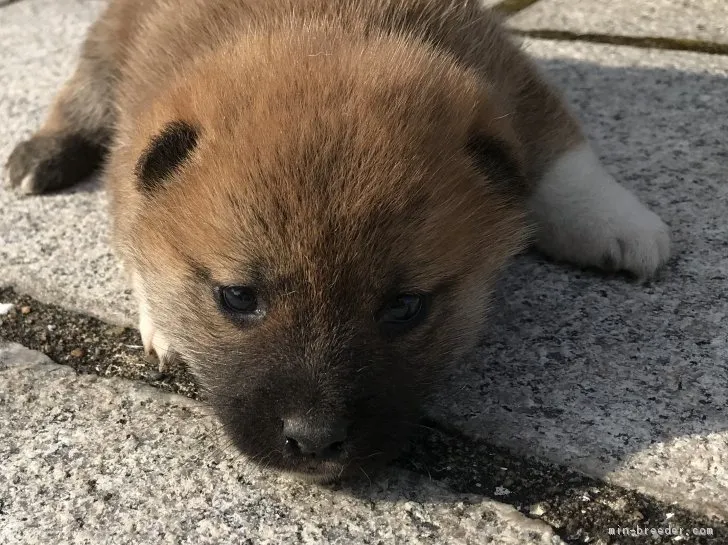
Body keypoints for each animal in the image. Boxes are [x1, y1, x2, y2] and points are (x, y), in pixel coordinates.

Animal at [4, 0, 672, 480]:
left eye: (406, 307)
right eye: (237, 298)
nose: (315, 441)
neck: (322, 19)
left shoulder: (514, 83)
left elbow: (563, 159)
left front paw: (619, 222)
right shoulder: (134, 140)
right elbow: (133, 223)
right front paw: (163, 322)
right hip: (104, 52)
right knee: (78, 100)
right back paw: (41, 155)